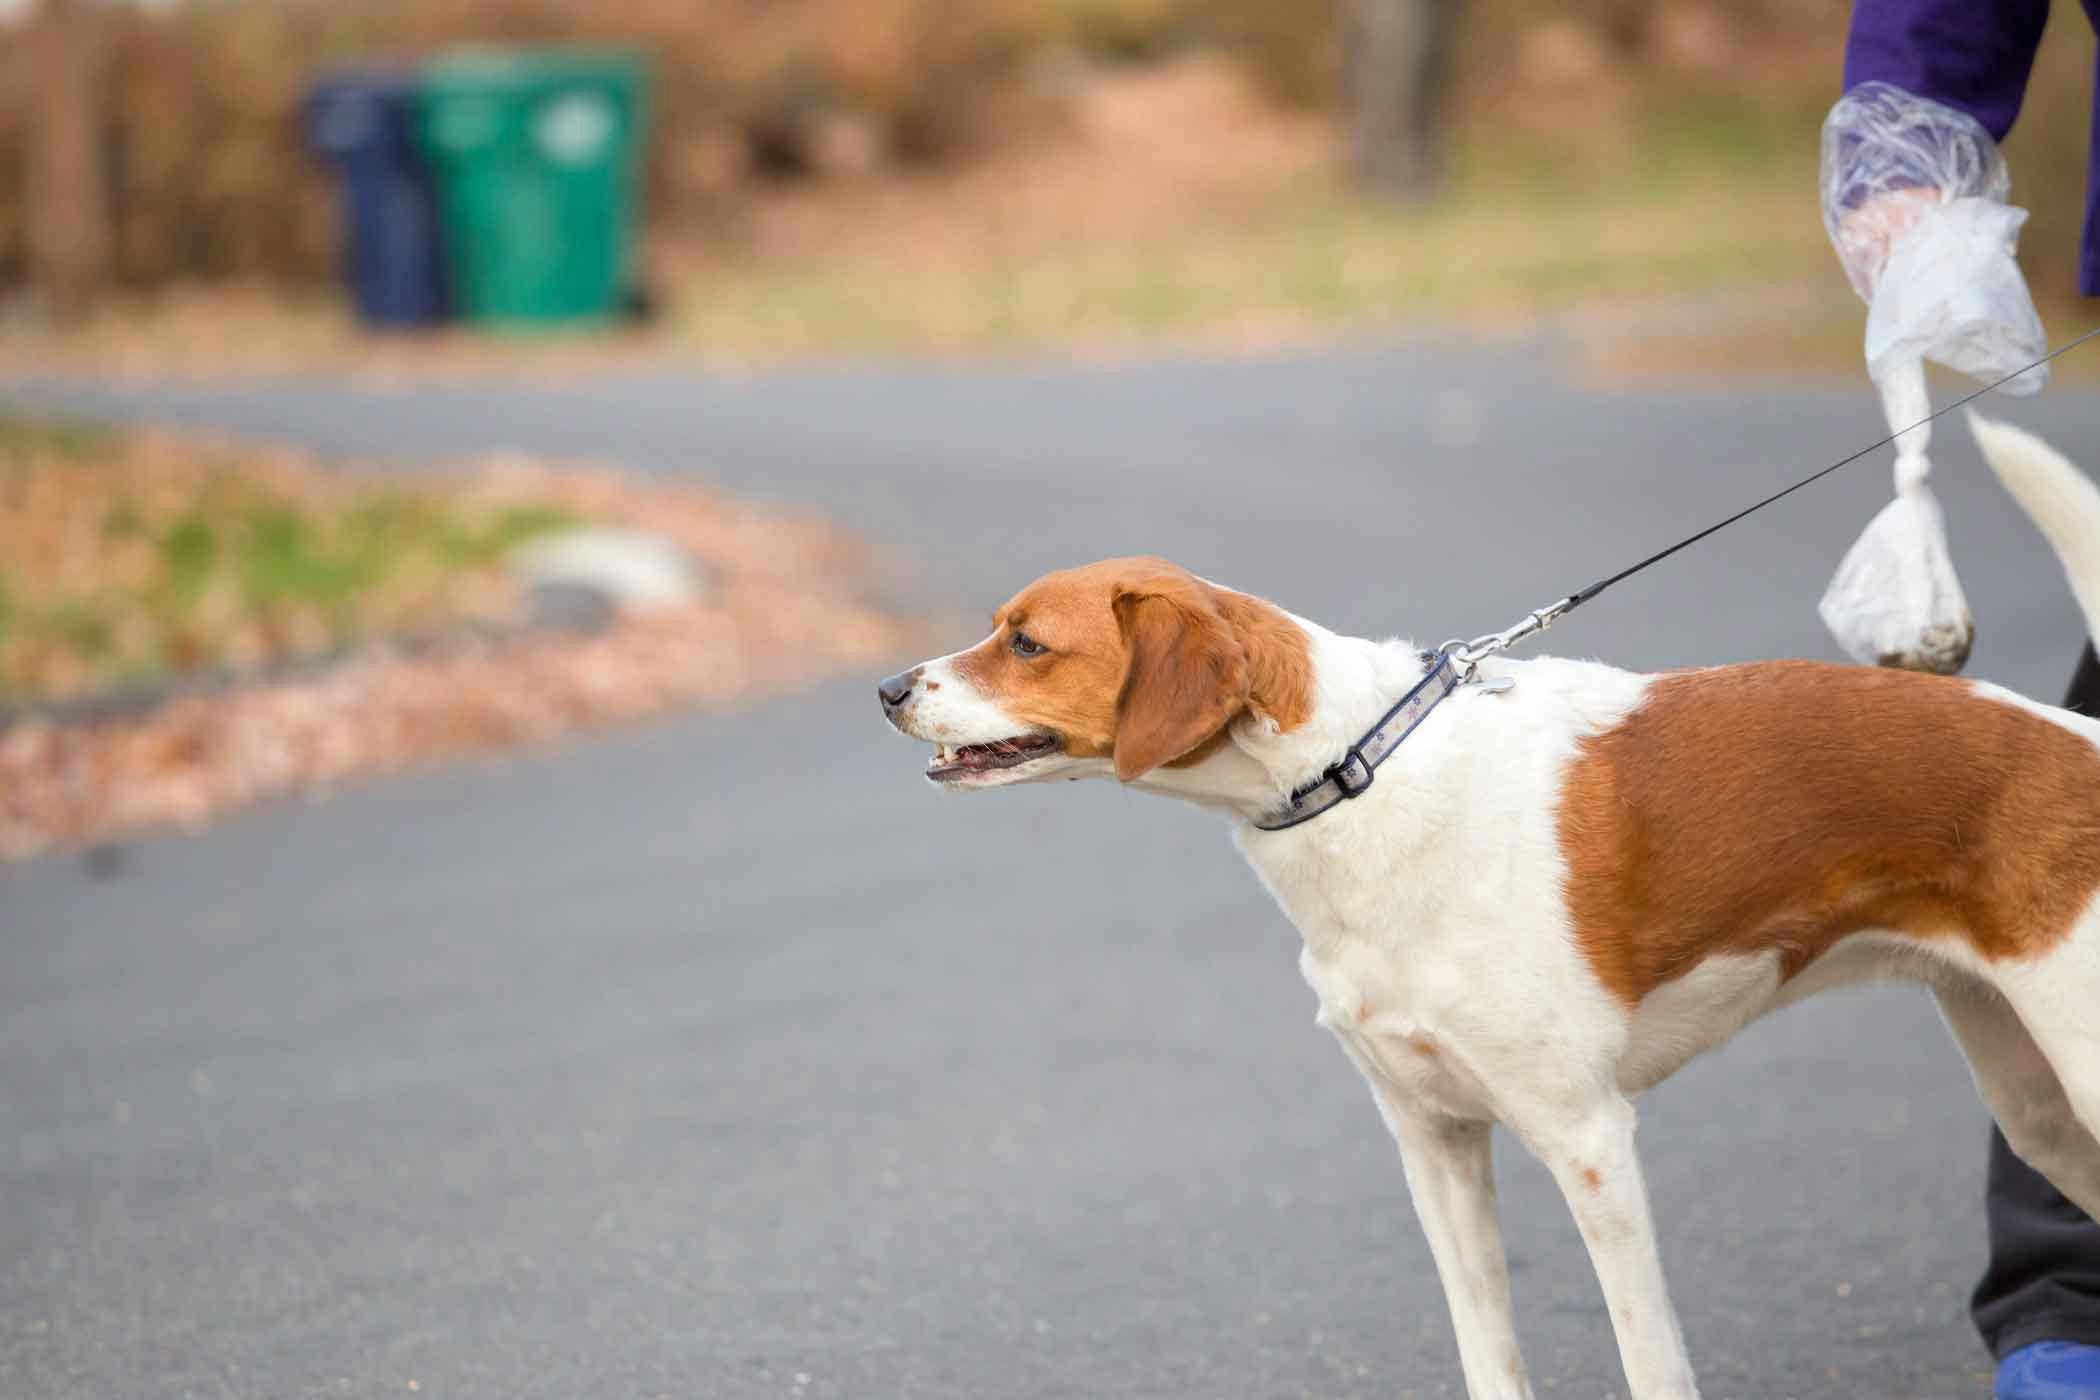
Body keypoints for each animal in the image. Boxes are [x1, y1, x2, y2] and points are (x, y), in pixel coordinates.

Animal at [873, 415, 2100, 1400]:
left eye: (1028, 642)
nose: (886, 689)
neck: (1357, 772)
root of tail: (2079, 740)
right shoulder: (1435, 1138)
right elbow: (1487, 1349)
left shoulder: (1591, 1143)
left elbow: (1650, 1361)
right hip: (2035, 1105)